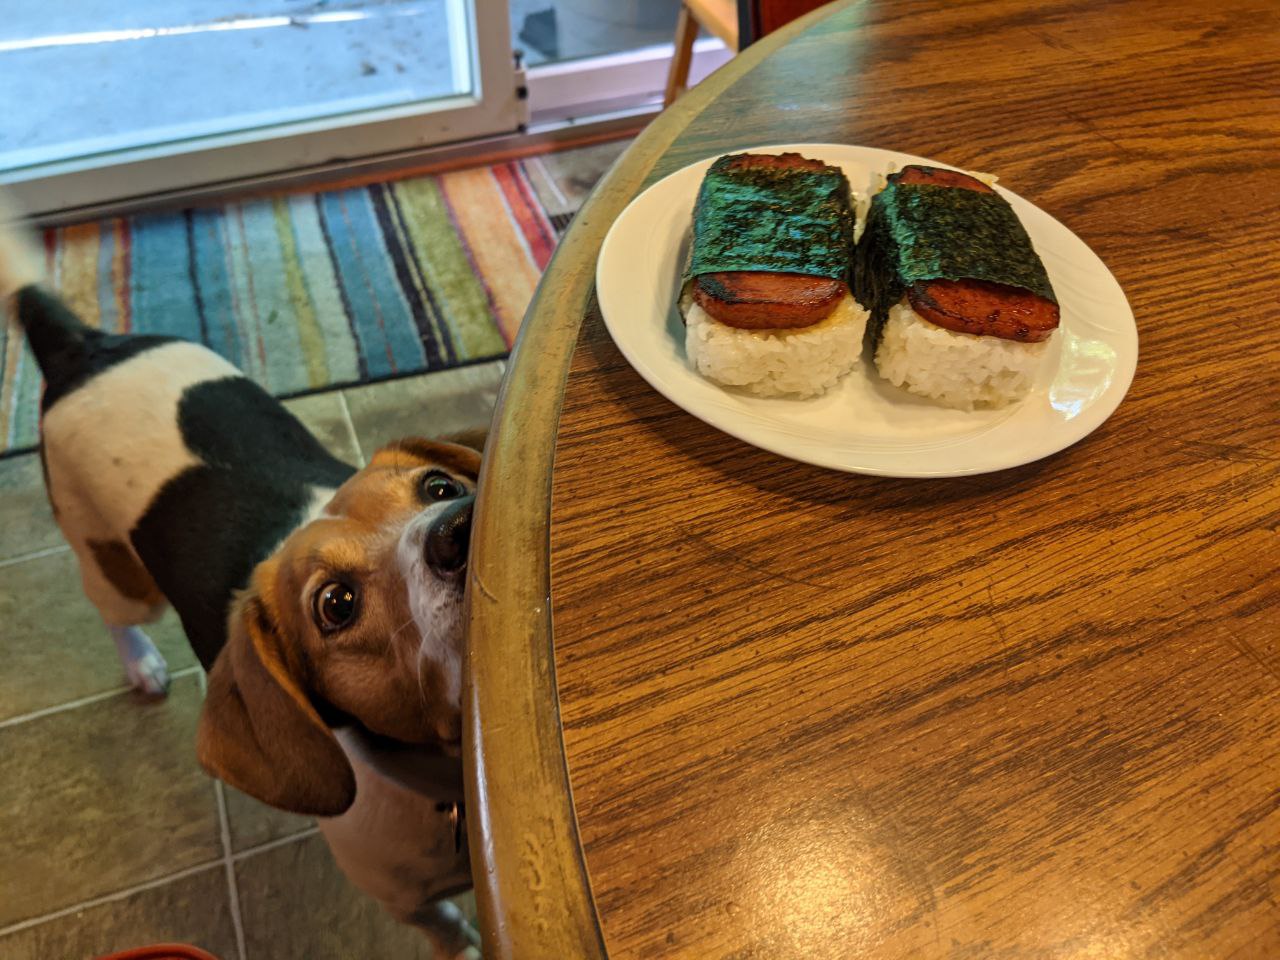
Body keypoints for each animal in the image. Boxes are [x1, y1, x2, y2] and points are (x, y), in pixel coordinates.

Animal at [1, 213, 481, 957]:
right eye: (336, 605)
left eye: (437, 486)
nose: (460, 528)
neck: (444, 777)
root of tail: (86, 345)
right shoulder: (416, 907)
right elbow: (456, 932)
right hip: (114, 569)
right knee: (112, 612)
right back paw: (141, 664)